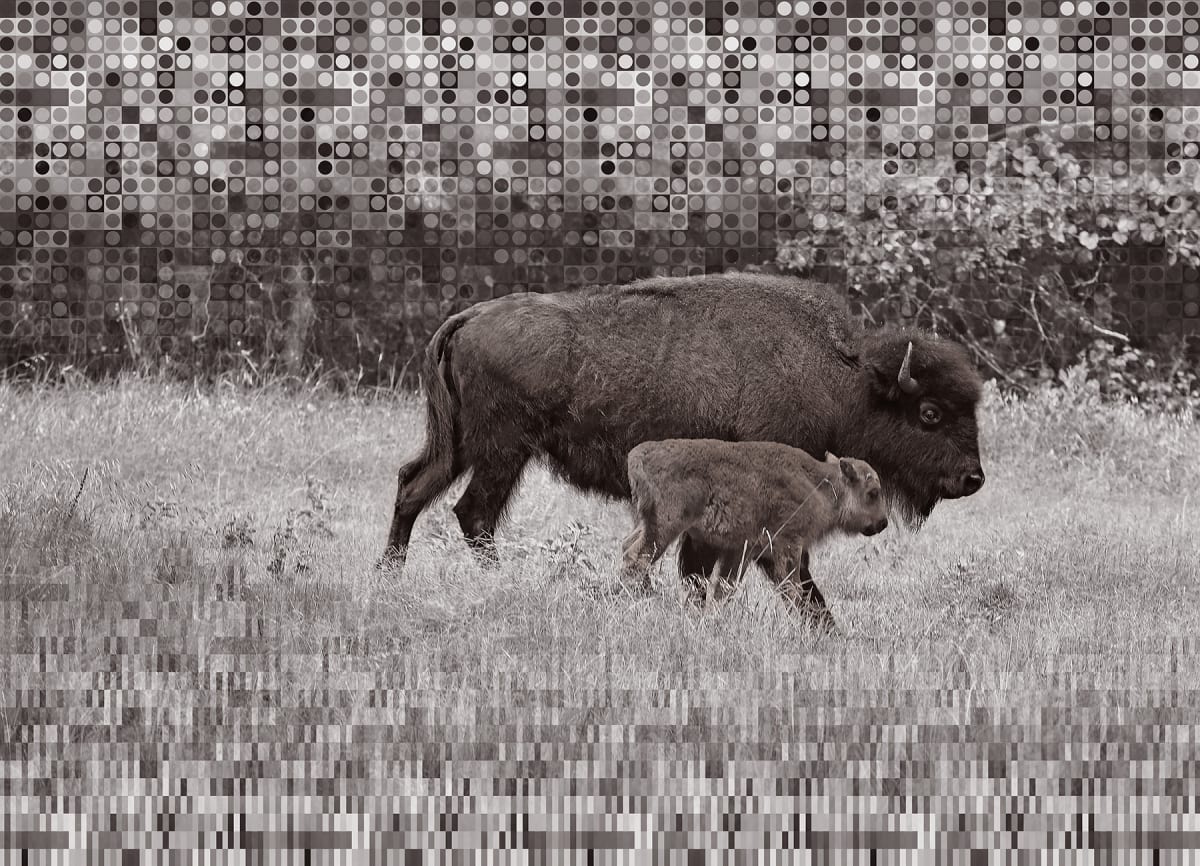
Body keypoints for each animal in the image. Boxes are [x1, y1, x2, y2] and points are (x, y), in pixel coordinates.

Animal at [621, 441, 890, 627]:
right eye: (873, 492)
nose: (883, 522)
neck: (821, 484)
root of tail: (639, 455)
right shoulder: (787, 546)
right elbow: (792, 589)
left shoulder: (743, 550)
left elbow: (724, 588)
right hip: (664, 528)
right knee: (637, 557)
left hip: (647, 525)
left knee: (627, 548)